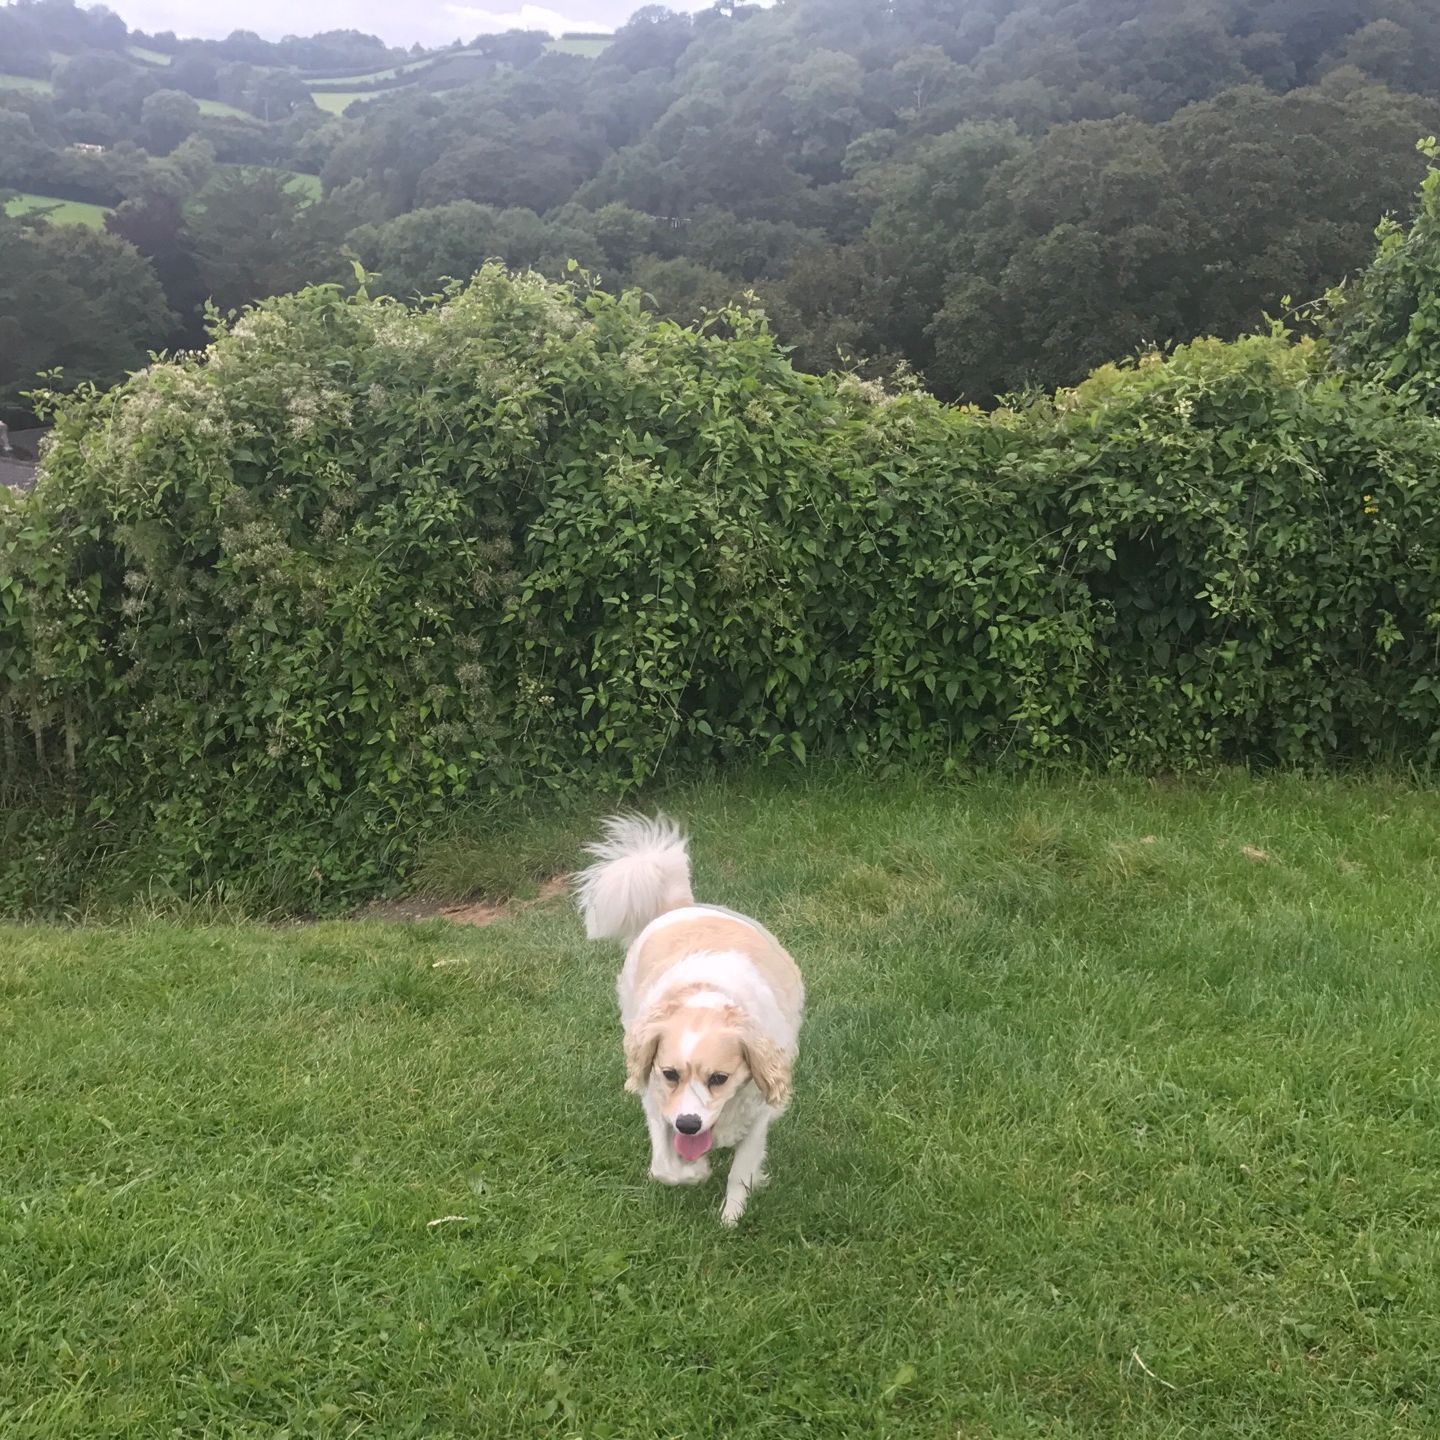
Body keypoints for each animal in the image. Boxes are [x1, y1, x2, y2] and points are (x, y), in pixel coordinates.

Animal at [576, 817, 806, 1221]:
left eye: (719, 1078)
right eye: (670, 1074)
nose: (688, 1123)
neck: (705, 997)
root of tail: (680, 906)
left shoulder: (759, 1111)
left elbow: (741, 1169)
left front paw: (731, 1217)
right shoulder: (656, 1098)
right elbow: (665, 1166)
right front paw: (694, 1171)